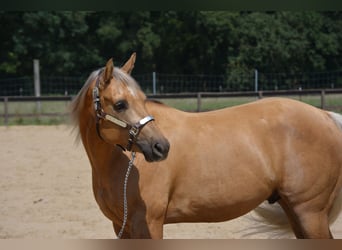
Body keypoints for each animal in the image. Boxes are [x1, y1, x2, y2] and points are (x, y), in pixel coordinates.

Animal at [70, 53, 342, 238]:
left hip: (309, 213)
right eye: (120, 104)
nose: (161, 147)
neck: (121, 164)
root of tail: (326, 116)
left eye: (143, 100)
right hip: (296, 213)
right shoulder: (122, 226)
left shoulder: (148, 223)